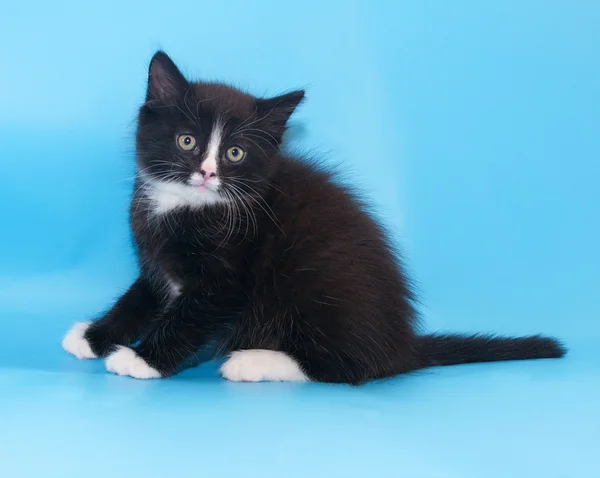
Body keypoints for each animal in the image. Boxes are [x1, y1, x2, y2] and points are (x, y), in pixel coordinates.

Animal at [62, 51, 568, 384]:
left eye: (234, 152)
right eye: (187, 141)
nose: (206, 173)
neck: (188, 205)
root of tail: (400, 343)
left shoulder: (227, 280)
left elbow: (188, 317)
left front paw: (140, 360)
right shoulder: (157, 265)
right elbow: (141, 299)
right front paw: (94, 336)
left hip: (315, 284)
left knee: (346, 368)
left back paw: (254, 361)